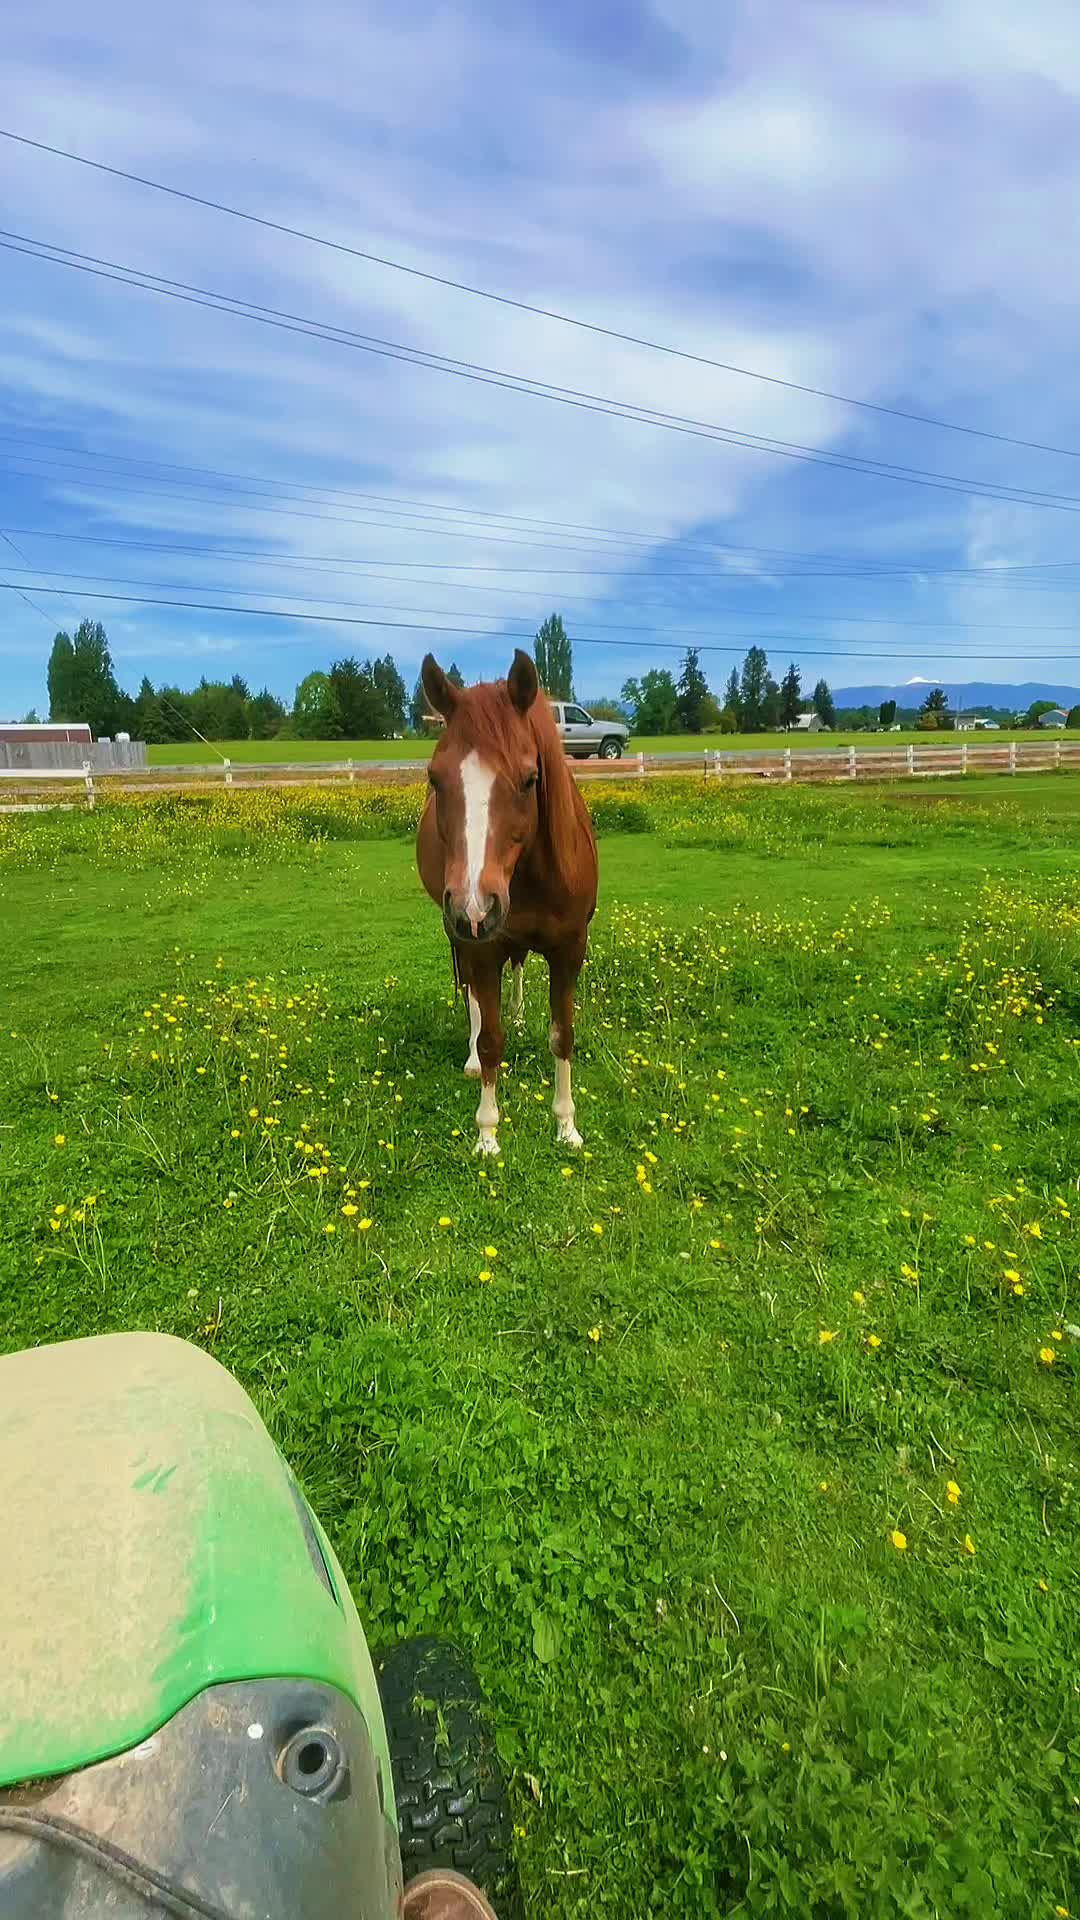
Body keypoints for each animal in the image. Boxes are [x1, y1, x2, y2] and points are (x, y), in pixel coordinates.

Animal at [416, 649, 599, 1157]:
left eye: (530, 778)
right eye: (435, 778)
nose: (475, 907)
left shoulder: (569, 950)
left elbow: (562, 1036)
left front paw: (567, 1127)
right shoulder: (481, 946)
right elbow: (491, 1037)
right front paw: (487, 1134)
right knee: (474, 998)